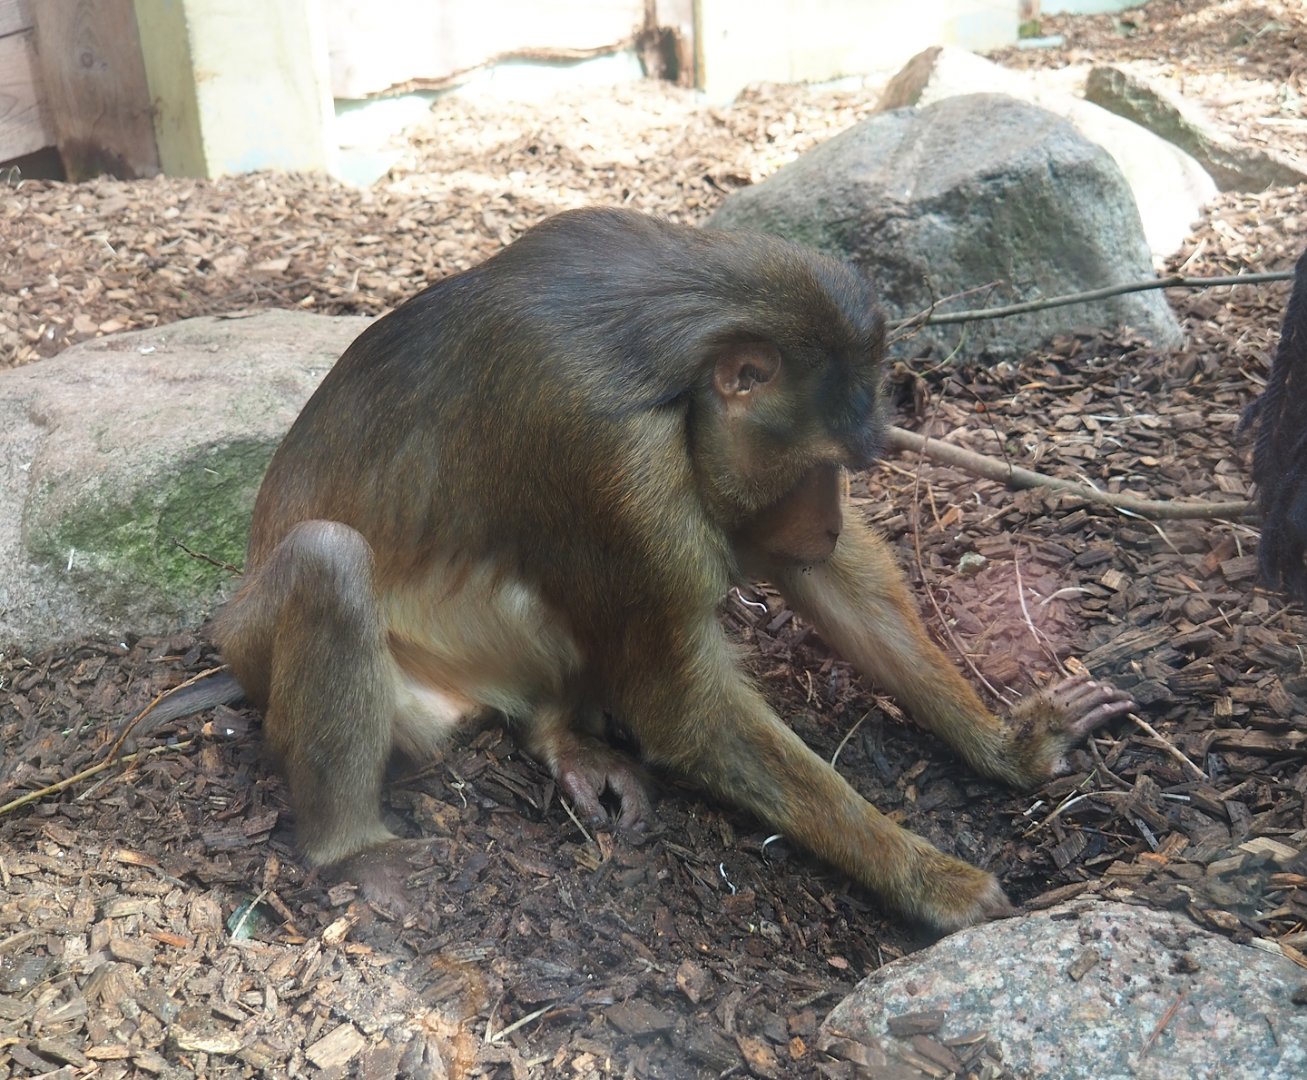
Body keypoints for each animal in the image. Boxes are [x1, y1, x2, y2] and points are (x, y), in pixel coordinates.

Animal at [138, 208, 1134, 932]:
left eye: (847, 471)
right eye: (817, 465)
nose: (825, 518)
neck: (676, 365)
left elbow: (829, 584)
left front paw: (1007, 746)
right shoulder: (611, 465)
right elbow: (684, 711)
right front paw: (928, 879)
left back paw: (556, 733)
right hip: (333, 671)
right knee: (328, 559)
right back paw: (351, 853)